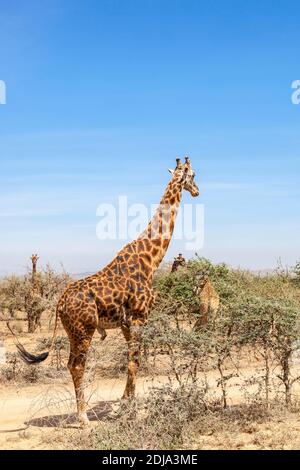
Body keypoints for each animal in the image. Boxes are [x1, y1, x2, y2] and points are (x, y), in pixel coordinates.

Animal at [10, 157, 199, 426]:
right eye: (193, 175)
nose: (197, 191)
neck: (150, 260)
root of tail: (59, 303)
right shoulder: (140, 317)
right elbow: (134, 360)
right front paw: (125, 409)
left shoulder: (127, 323)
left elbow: (133, 360)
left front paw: (127, 404)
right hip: (84, 330)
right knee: (77, 365)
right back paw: (83, 417)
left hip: (73, 332)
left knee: (71, 364)